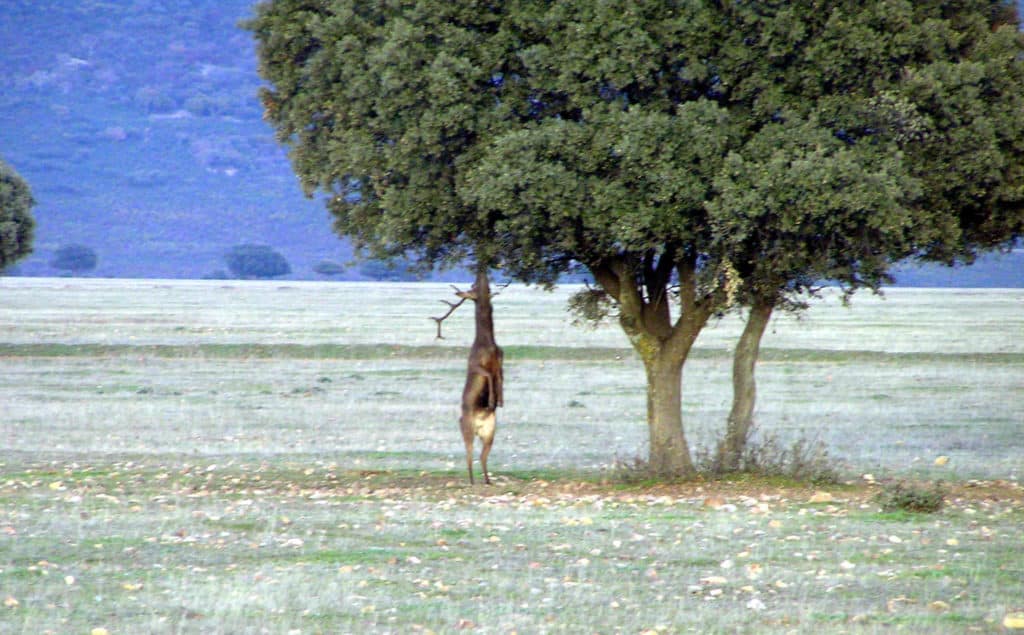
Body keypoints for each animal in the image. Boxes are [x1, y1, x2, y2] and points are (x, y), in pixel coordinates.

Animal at [432, 268, 503, 485]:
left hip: (490, 432)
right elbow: (488, 376)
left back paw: (487, 480)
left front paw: (500, 400)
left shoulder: (500, 361)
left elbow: (500, 379)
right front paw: (491, 400)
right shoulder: (475, 365)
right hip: (467, 429)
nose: (481, 278)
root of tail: (479, 424)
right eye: (473, 289)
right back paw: (472, 481)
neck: (488, 344)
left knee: (482, 455)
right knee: (469, 455)